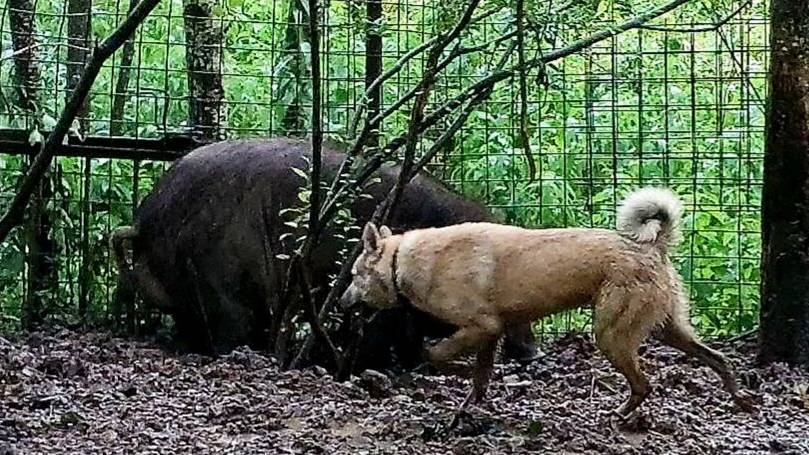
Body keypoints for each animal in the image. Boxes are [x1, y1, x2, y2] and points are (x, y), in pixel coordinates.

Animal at [340, 188, 752, 416]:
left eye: (354, 276)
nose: (342, 301)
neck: (402, 260)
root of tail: (652, 245)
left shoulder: (480, 327)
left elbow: (438, 353)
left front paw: (441, 366)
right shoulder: (492, 333)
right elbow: (479, 378)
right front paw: (467, 409)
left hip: (611, 336)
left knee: (644, 384)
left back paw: (620, 415)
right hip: (668, 330)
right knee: (717, 358)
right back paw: (740, 398)